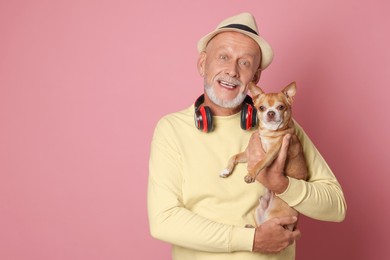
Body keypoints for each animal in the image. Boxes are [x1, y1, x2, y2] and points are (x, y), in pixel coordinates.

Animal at [219, 82, 308, 230]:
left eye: (281, 107)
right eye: (261, 108)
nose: (270, 112)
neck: (269, 132)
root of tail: (293, 225)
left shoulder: (271, 153)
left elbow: (260, 162)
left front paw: (250, 175)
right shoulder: (248, 153)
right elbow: (234, 157)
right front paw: (226, 170)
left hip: (275, 214)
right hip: (259, 209)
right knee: (260, 227)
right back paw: (250, 227)